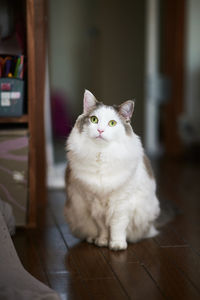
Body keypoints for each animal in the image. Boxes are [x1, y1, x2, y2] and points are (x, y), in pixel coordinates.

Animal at [65, 89, 160, 251]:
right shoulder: (94, 204)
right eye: (94, 120)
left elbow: (117, 227)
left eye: (112, 123)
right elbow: (103, 228)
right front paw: (102, 242)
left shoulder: (121, 204)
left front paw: (117, 245)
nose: (100, 130)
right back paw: (92, 239)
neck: (101, 155)